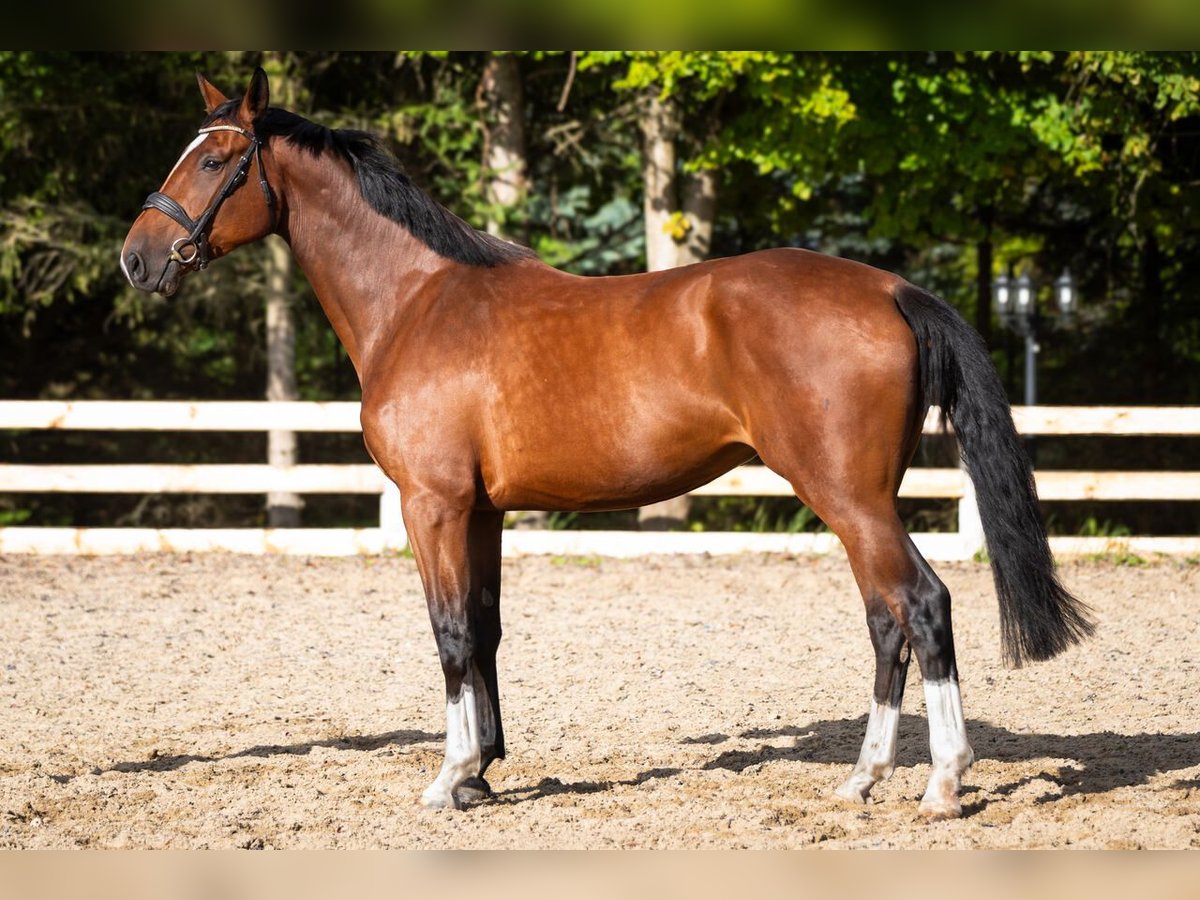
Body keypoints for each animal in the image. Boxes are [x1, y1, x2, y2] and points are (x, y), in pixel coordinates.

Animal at [121, 68, 1093, 820]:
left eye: (214, 160)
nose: (138, 259)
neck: (418, 300)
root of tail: (891, 288)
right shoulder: (482, 512)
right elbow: (484, 629)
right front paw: (482, 774)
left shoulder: (432, 504)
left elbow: (447, 632)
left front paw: (447, 779)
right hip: (864, 502)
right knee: (886, 620)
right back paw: (861, 779)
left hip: (848, 498)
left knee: (922, 606)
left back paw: (942, 783)